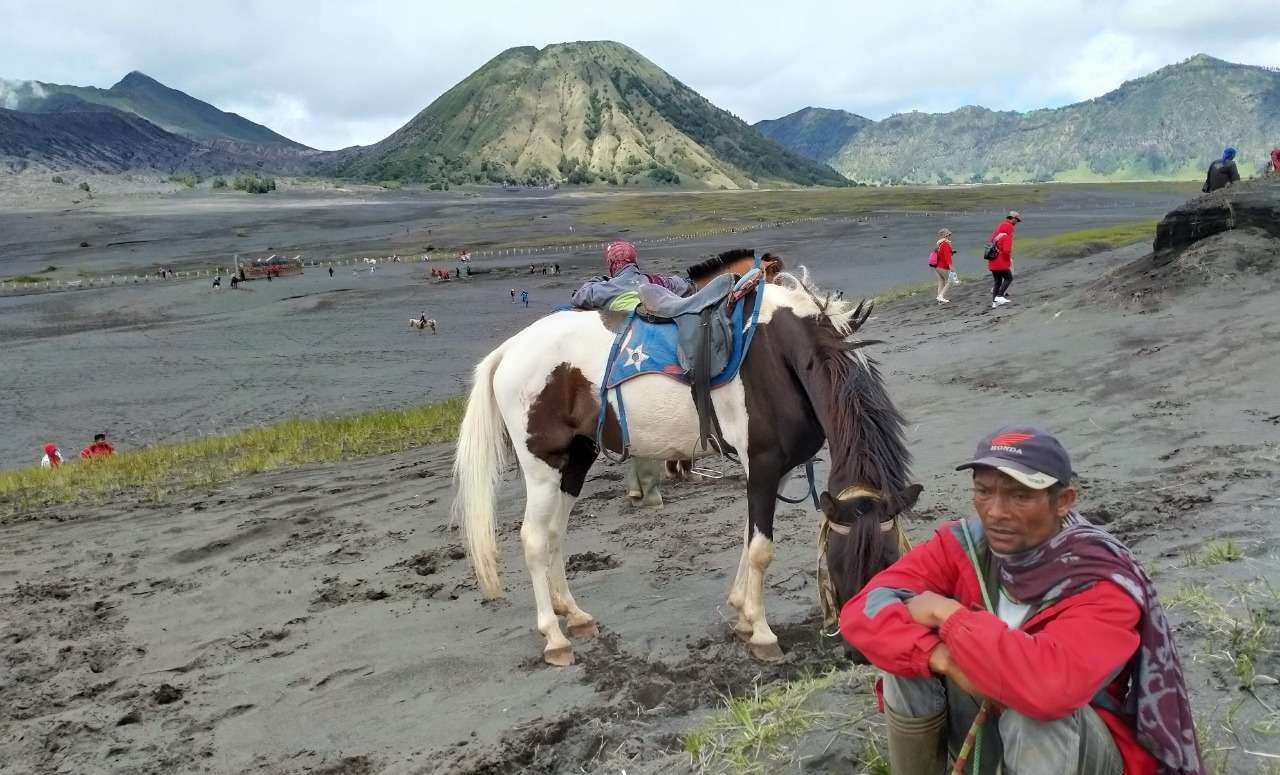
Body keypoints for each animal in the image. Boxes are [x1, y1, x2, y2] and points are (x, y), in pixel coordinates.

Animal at [453, 266, 921, 666]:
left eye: (889, 560)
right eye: (846, 561)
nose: (862, 655)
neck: (785, 352)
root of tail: (510, 350)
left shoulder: (777, 469)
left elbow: (748, 538)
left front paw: (742, 614)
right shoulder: (763, 463)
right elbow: (762, 550)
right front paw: (762, 633)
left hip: (576, 460)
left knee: (554, 533)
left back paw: (574, 613)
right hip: (543, 466)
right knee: (533, 539)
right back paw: (554, 637)